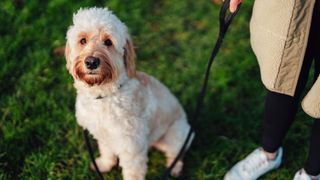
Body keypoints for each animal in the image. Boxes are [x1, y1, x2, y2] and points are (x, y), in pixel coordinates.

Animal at [64, 7, 194, 180]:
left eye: (108, 42)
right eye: (83, 40)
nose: (91, 62)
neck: (105, 95)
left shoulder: (132, 146)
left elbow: (132, 172)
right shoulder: (103, 135)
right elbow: (107, 151)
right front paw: (104, 165)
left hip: (176, 135)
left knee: (176, 154)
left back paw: (174, 169)